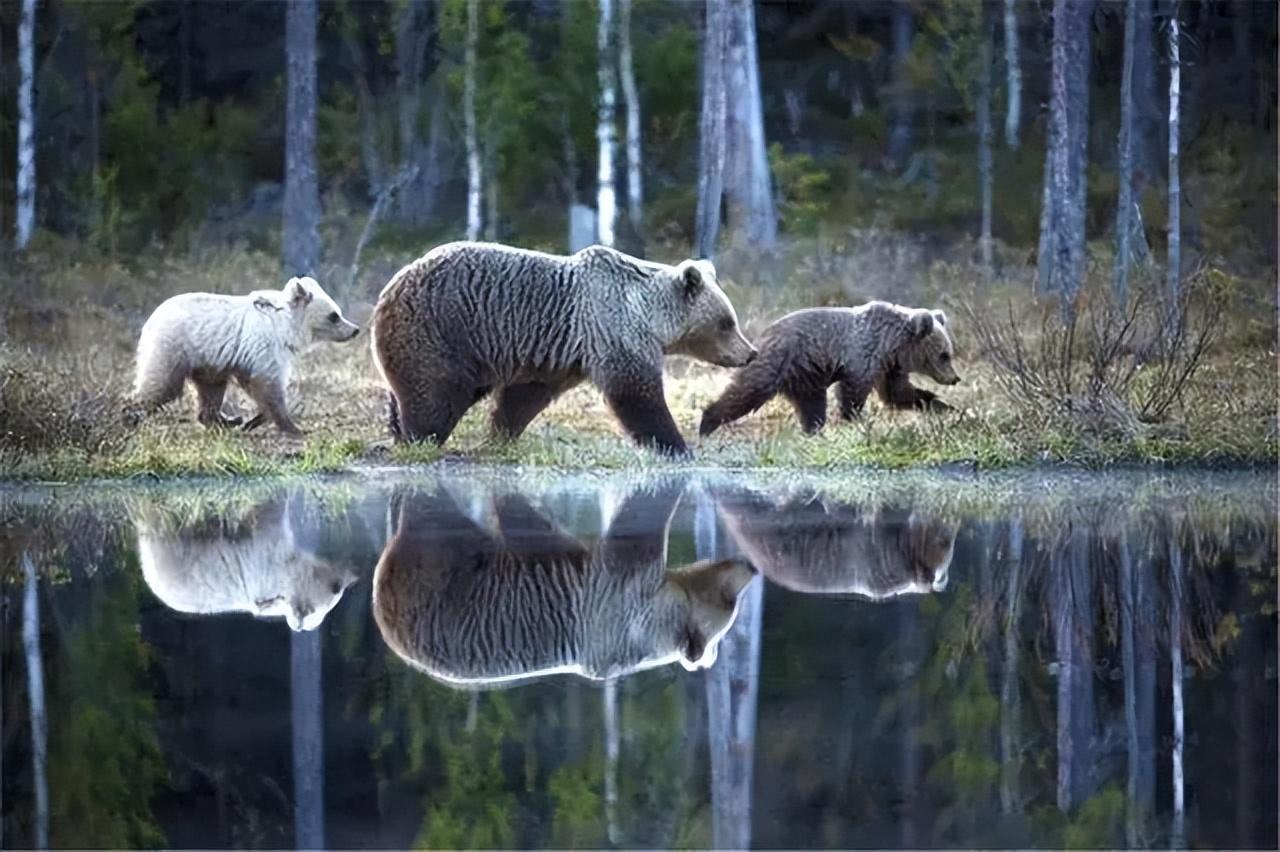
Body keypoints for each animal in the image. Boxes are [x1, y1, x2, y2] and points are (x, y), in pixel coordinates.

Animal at [371, 240, 752, 450]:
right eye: (727, 322)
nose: (750, 353)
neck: (649, 316)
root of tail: (387, 290)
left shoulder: (555, 354)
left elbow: (522, 398)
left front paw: (501, 433)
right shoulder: (611, 330)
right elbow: (637, 395)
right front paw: (674, 445)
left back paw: (397, 429)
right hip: (441, 331)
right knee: (434, 394)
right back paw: (417, 438)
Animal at [701, 300, 962, 434]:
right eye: (944, 355)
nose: (955, 378)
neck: (892, 345)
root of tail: (762, 336)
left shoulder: (889, 367)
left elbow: (898, 393)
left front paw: (944, 405)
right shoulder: (862, 356)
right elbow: (853, 392)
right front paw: (854, 419)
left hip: (806, 375)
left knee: (812, 406)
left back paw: (813, 430)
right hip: (779, 361)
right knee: (747, 391)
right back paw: (707, 422)